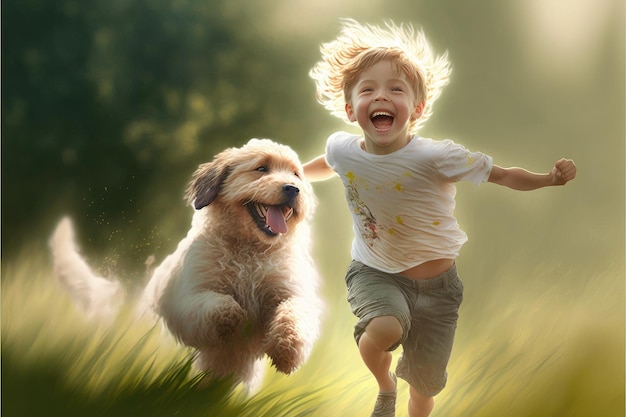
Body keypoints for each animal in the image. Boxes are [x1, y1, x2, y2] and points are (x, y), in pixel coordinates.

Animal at [49, 140, 322, 394]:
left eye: (296, 174)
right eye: (262, 168)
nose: (293, 189)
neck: (250, 252)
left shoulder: (290, 292)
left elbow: (294, 314)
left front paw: (287, 351)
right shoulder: (188, 297)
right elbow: (218, 306)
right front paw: (234, 318)